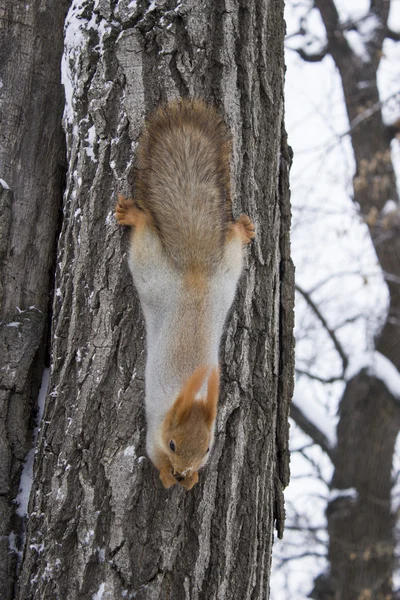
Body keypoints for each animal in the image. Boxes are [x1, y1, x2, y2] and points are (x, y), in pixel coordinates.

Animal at [115, 98, 255, 490]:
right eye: (174, 444)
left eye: (208, 449)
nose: (183, 472)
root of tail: (193, 277)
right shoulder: (153, 435)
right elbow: (153, 456)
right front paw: (166, 476)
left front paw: (189, 481)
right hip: (150, 270)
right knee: (145, 232)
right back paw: (133, 215)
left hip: (227, 275)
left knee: (233, 243)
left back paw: (243, 228)